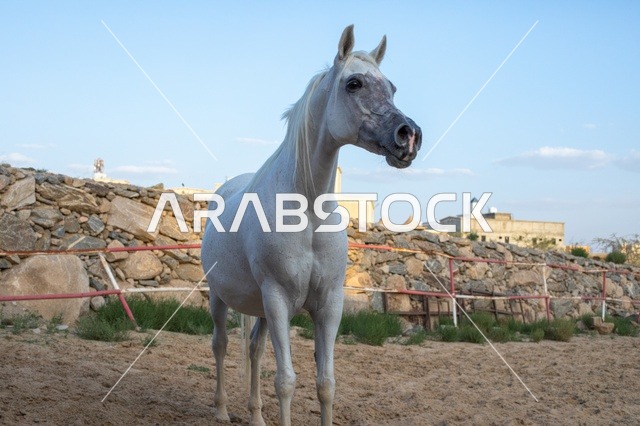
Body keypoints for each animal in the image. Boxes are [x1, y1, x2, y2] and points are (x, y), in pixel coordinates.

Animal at [201, 25, 422, 426]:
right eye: (354, 83)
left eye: (393, 87)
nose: (409, 135)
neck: (307, 214)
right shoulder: (277, 299)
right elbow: (286, 381)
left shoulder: (329, 304)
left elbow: (326, 383)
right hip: (219, 298)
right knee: (221, 345)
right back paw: (222, 410)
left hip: (258, 308)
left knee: (254, 350)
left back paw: (255, 416)